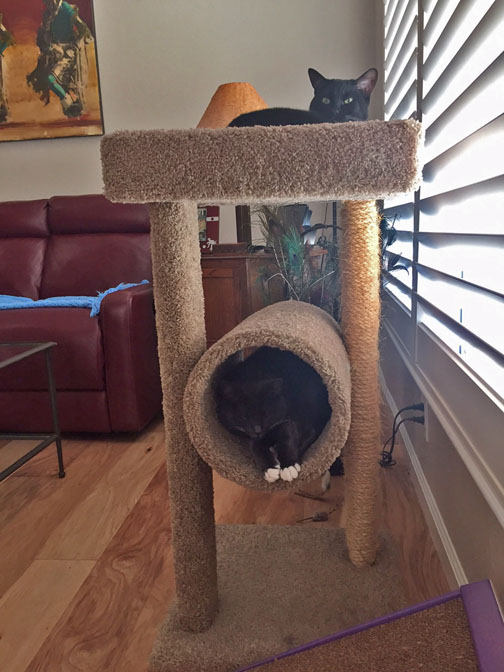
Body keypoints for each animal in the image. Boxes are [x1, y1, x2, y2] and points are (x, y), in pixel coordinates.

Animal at [215, 346, 331, 483]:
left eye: (265, 414)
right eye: (244, 416)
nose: (257, 430)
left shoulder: (287, 418)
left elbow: (288, 437)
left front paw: (289, 467)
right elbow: (255, 447)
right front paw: (270, 469)